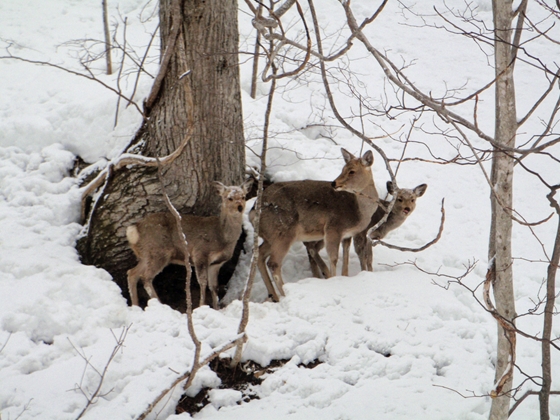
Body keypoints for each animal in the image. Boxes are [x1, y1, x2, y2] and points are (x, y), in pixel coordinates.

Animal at [127, 179, 252, 310]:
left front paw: (216, 309)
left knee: (132, 273)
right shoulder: (200, 253)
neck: (222, 237)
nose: (240, 207)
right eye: (229, 198)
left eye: (243, 196)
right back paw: (160, 305)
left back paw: (135, 305)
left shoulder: (216, 263)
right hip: (158, 251)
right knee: (145, 277)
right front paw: (202, 306)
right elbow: (203, 282)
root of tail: (135, 230)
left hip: (146, 255)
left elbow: (214, 286)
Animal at [250, 148, 378, 302]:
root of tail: (253, 212)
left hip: (271, 236)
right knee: (273, 263)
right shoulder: (333, 227)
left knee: (259, 254)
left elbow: (345, 257)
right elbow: (333, 258)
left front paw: (344, 277)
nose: (334, 183)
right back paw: (286, 295)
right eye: (343, 168)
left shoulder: (348, 234)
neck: (360, 212)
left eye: (352, 171)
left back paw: (274, 296)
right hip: (283, 232)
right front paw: (333, 280)